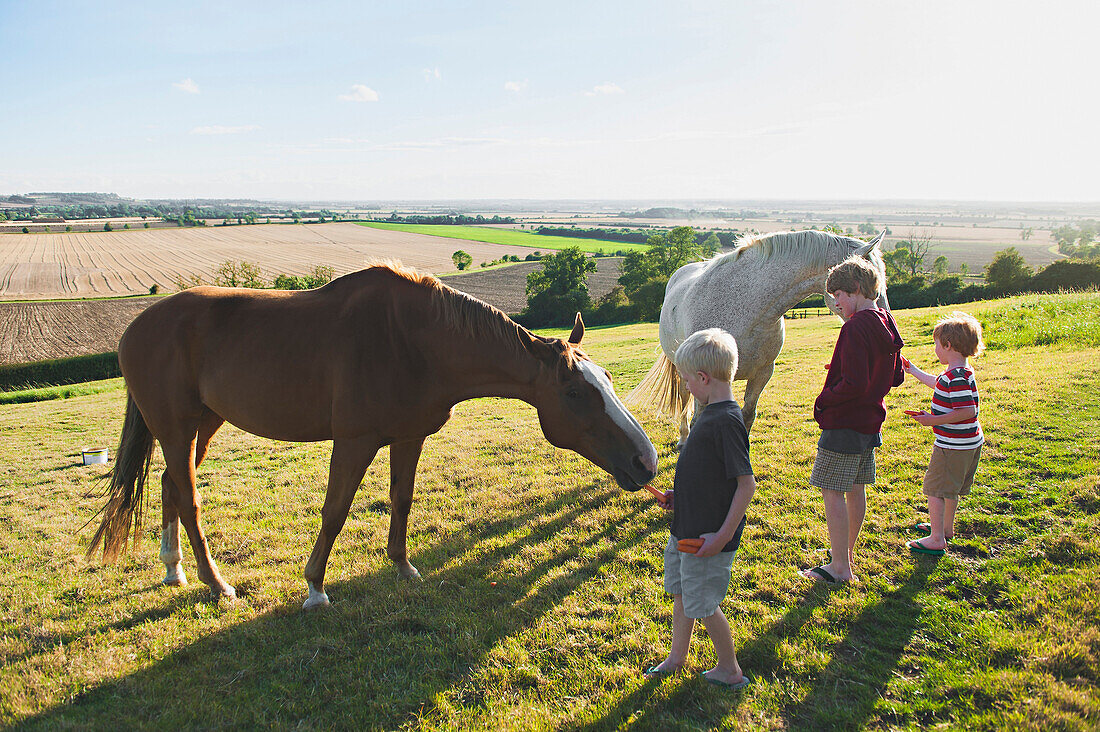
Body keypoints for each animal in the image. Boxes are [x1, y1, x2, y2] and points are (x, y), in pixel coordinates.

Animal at [88, 260, 651, 603]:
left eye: (605, 379)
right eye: (575, 393)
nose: (646, 461)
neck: (413, 341)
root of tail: (136, 327)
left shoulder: (409, 436)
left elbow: (401, 500)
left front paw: (403, 568)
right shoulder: (355, 441)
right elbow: (336, 509)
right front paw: (315, 587)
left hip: (202, 424)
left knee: (169, 484)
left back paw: (173, 568)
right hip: (177, 427)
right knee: (187, 497)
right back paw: (216, 584)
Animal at [629, 230, 884, 444]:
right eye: (871, 288)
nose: (882, 324)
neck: (749, 308)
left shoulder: (763, 373)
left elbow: (748, 414)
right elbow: (698, 416)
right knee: (683, 401)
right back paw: (683, 439)